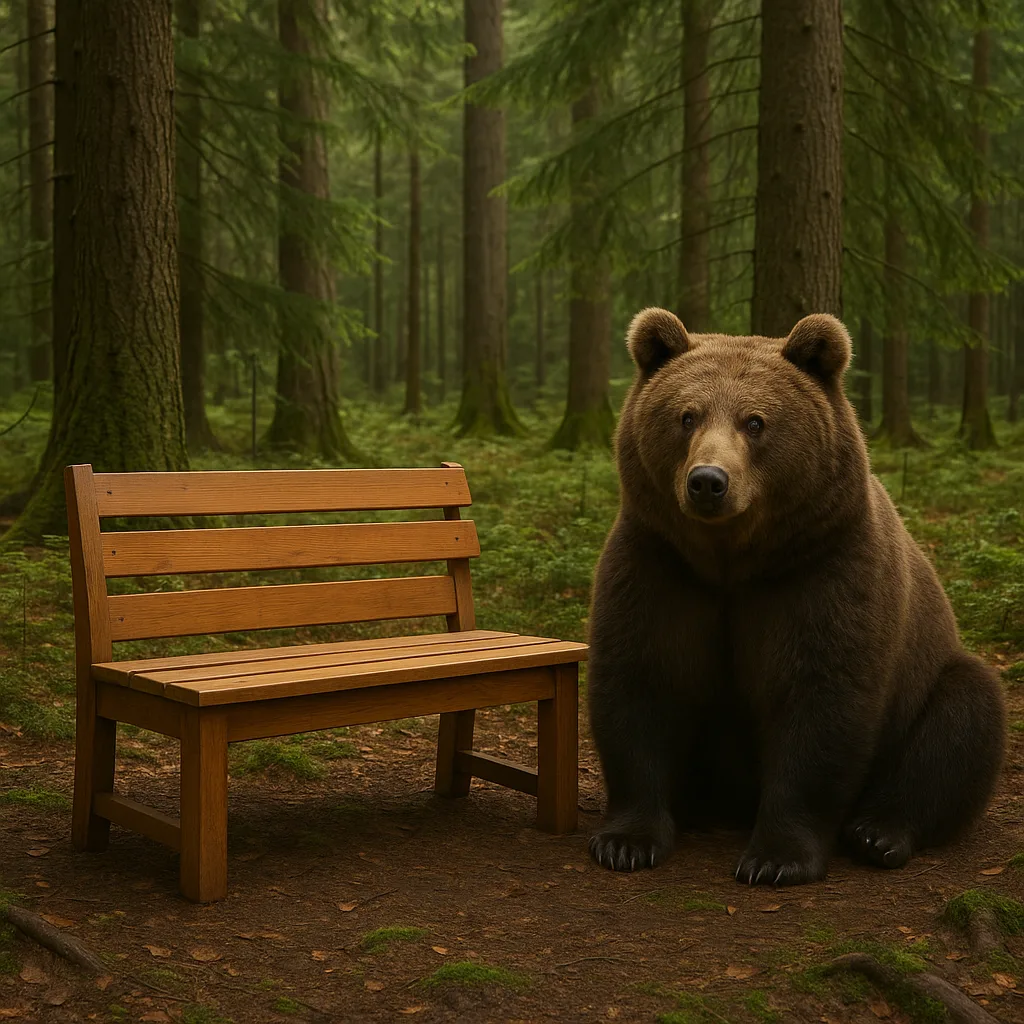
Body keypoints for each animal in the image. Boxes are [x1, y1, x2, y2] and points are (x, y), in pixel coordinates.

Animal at [586, 307, 1007, 885]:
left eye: (755, 422)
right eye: (687, 416)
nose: (708, 481)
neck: (733, 562)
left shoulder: (822, 571)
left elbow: (821, 698)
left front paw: (776, 857)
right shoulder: (661, 565)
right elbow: (640, 681)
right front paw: (626, 841)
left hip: (927, 675)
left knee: (963, 715)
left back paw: (879, 832)